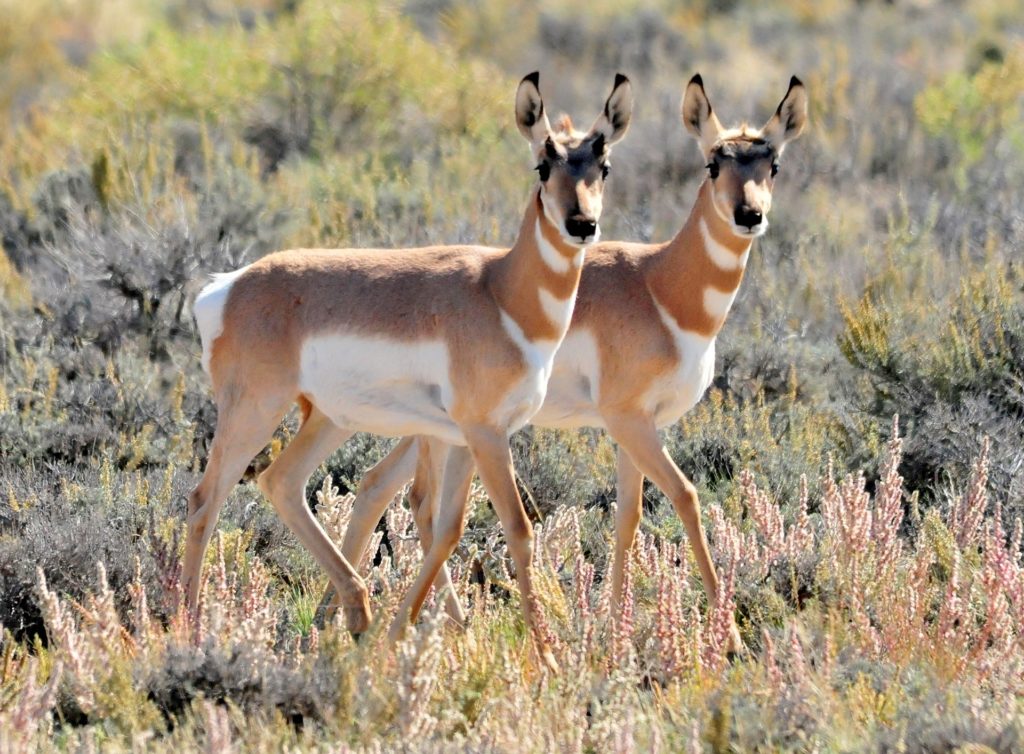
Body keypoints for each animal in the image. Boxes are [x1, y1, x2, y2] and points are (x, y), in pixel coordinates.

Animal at [187, 72, 626, 672]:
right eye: (543, 163)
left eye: (602, 165)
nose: (582, 224)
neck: (500, 291)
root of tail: (228, 287)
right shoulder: (487, 435)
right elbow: (517, 529)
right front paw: (549, 658)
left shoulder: (465, 438)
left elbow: (448, 527)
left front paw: (417, 632)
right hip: (255, 411)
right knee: (205, 501)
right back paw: (183, 630)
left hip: (327, 421)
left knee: (282, 482)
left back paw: (357, 613)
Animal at [331, 76, 802, 655]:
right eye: (714, 163)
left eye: (772, 163)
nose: (749, 216)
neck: (659, 286)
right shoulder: (629, 420)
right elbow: (687, 497)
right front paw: (729, 634)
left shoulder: (637, 427)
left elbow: (628, 516)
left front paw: (615, 629)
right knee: (414, 497)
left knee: (379, 485)